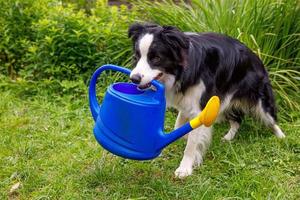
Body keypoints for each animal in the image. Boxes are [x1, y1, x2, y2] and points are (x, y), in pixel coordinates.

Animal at [127, 23, 286, 178]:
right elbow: (179, 127)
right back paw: (228, 137)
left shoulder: (201, 107)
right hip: (223, 100)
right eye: (136, 56)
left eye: (156, 58)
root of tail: (256, 56)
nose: (134, 79)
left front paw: (185, 168)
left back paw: (281, 137)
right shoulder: (188, 102)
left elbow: (191, 143)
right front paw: (186, 140)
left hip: (259, 99)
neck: (180, 73)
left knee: (271, 118)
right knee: (237, 120)